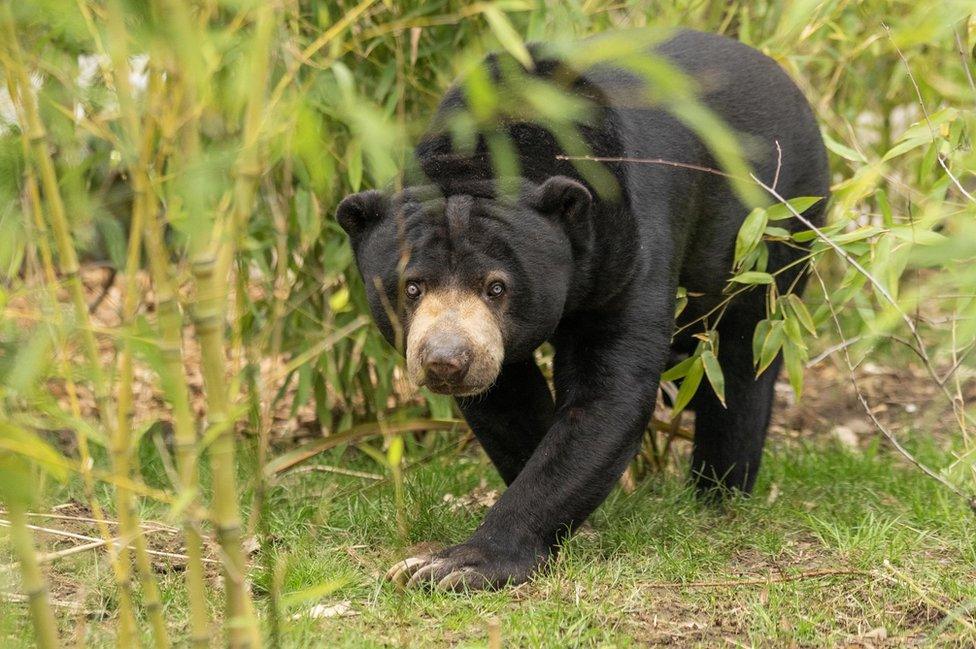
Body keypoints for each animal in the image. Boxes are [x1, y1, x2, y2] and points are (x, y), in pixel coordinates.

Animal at [338, 29, 832, 588]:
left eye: (496, 287)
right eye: (412, 287)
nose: (447, 362)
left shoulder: (628, 251)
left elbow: (605, 398)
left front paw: (454, 565)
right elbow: (509, 402)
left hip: (776, 225)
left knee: (744, 354)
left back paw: (719, 492)